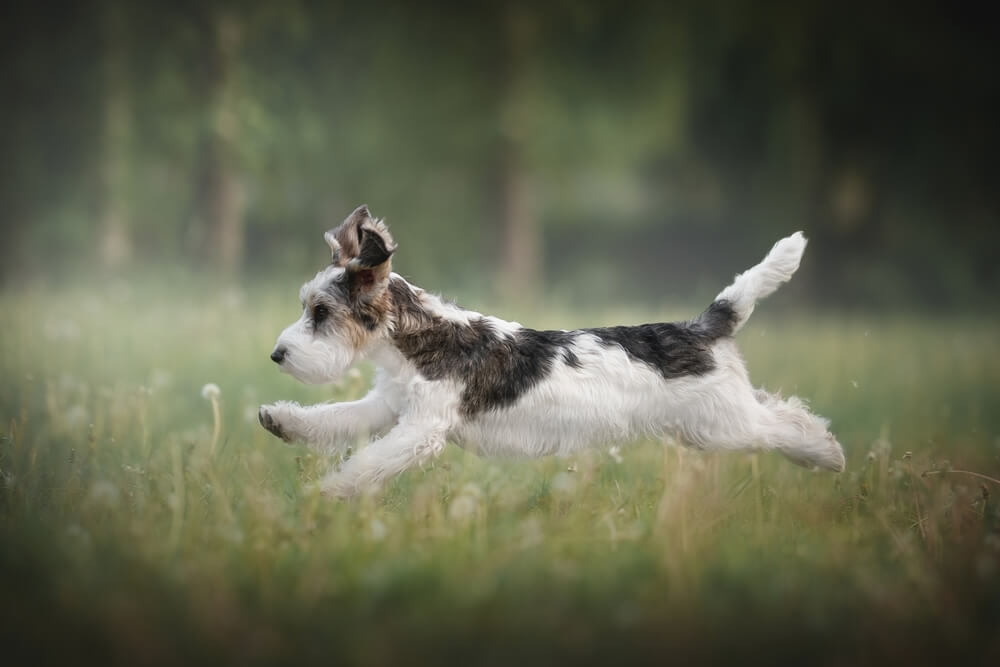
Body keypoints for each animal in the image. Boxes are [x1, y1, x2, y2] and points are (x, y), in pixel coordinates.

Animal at [258, 206, 844, 498]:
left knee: (792, 423)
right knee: (784, 408)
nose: (278, 355)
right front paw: (279, 420)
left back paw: (829, 455)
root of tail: (705, 326)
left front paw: (328, 494)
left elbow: (367, 463)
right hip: (717, 421)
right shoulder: (388, 407)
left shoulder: (421, 429)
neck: (419, 340)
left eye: (321, 313)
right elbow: (332, 419)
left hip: (722, 425)